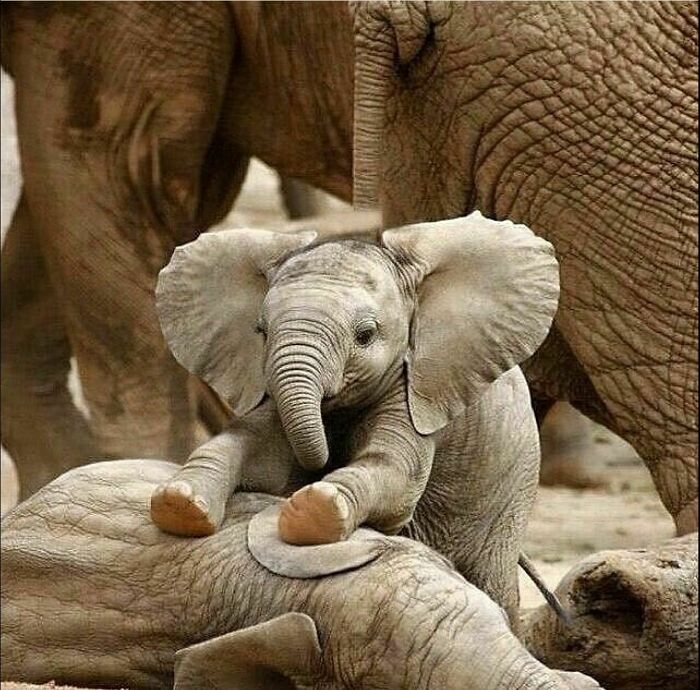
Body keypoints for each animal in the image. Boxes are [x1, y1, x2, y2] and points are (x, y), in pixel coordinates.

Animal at [148, 212, 559, 625]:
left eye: (365, 335)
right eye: (260, 332)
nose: (322, 464)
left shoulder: (413, 388)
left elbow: (395, 473)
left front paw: (312, 509)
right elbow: (255, 448)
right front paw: (179, 502)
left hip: (512, 487)